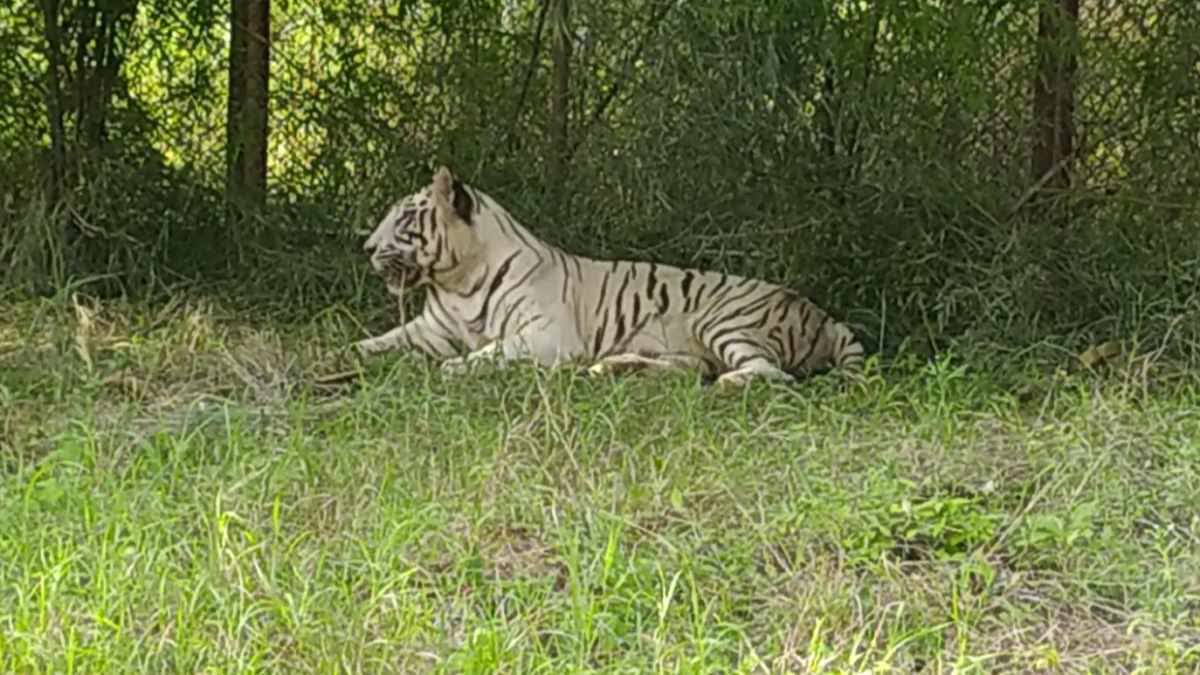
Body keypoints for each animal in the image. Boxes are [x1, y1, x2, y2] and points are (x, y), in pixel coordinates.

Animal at [355, 164, 864, 384]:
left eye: (403, 220)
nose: (366, 248)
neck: (457, 281)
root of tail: (823, 315)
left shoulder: (547, 334)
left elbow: (495, 350)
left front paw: (456, 367)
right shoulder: (430, 328)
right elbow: (378, 342)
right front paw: (351, 355)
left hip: (722, 320)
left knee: (772, 373)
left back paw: (731, 383)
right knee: (691, 368)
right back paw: (613, 367)